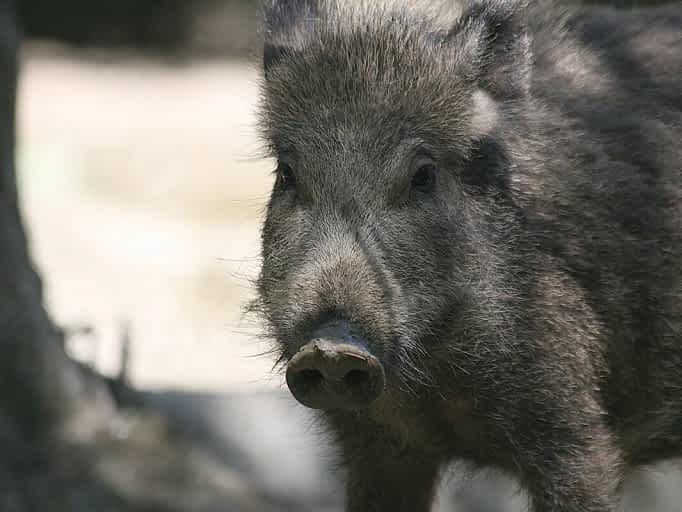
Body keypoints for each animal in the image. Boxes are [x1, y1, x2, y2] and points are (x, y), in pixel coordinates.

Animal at [253, 0, 682, 510]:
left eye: (423, 175)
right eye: (286, 174)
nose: (331, 349)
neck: (433, 387)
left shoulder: (576, 431)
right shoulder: (376, 445)